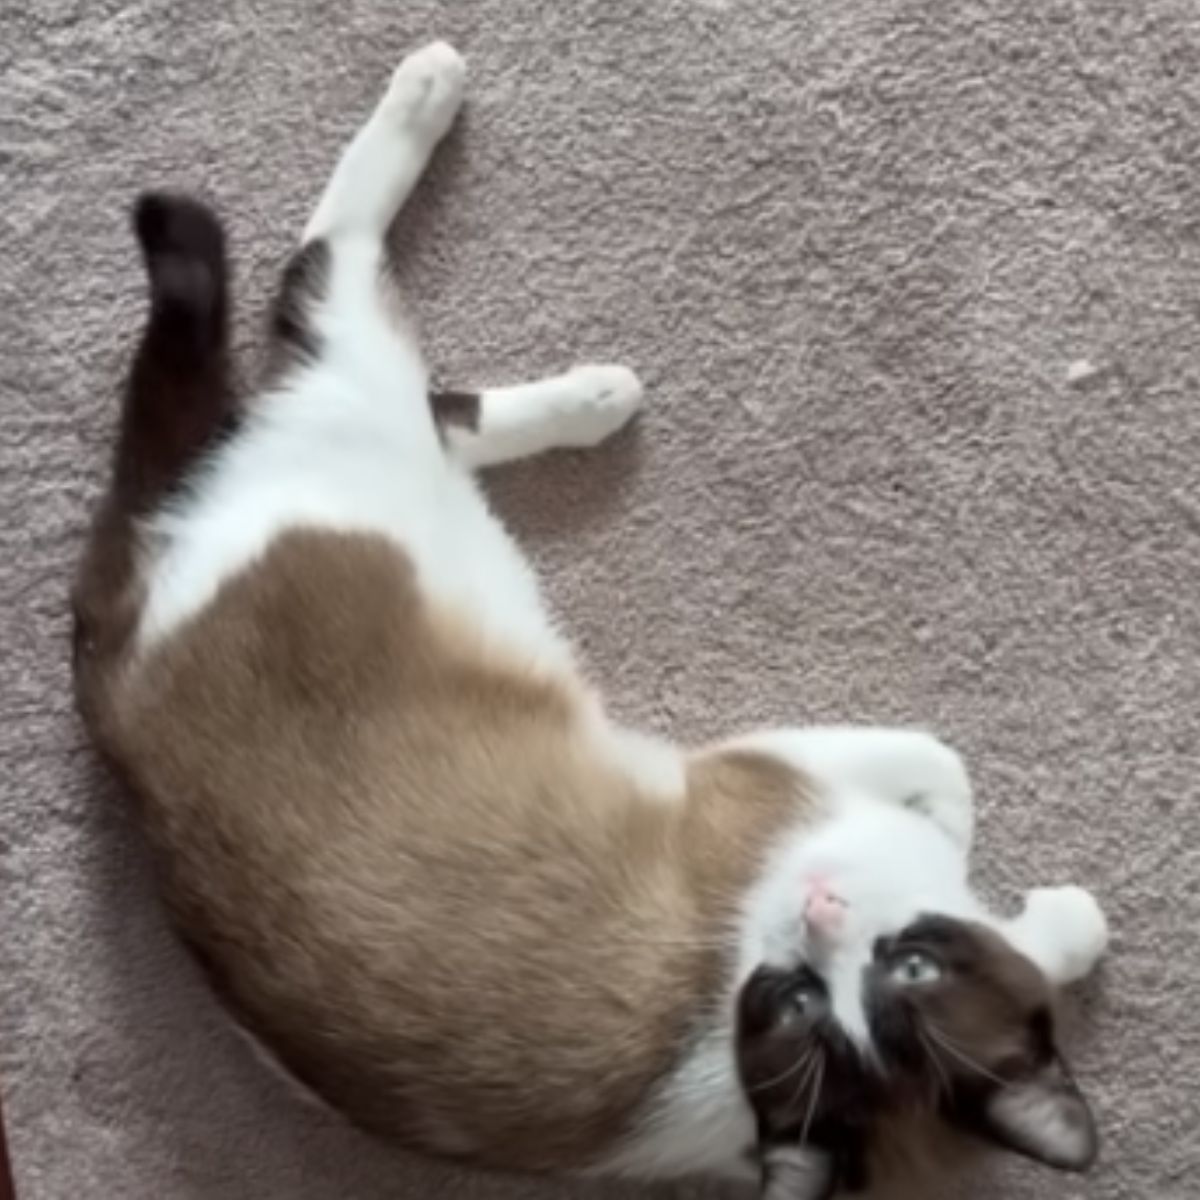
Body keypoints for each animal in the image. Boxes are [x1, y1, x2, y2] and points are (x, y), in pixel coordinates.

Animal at [72, 39, 1104, 1200]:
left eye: (843, 1000)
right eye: (886, 974)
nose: (825, 914)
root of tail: (110, 666)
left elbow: (1011, 869)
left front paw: (1042, 910)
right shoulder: (768, 766)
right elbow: (950, 773)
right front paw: (988, 863)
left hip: (404, 473)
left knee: (426, 402)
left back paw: (594, 396)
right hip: (360, 420)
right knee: (328, 271)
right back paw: (432, 93)